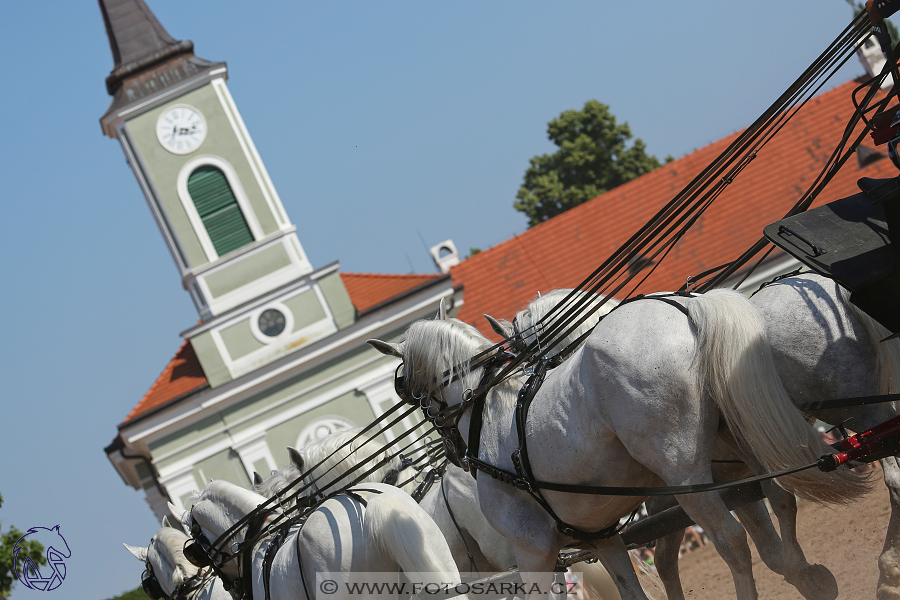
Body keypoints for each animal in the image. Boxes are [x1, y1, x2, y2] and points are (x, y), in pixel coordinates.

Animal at [370, 288, 868, 600]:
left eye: (402, 389)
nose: (452, 451)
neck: (488, 408)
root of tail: (685, 309)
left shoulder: (534, 551)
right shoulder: (602, 536)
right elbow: (631, 589)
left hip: (686, 475)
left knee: (730, 539)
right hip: (741, 445)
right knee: (781, 498)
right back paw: (810, 576)